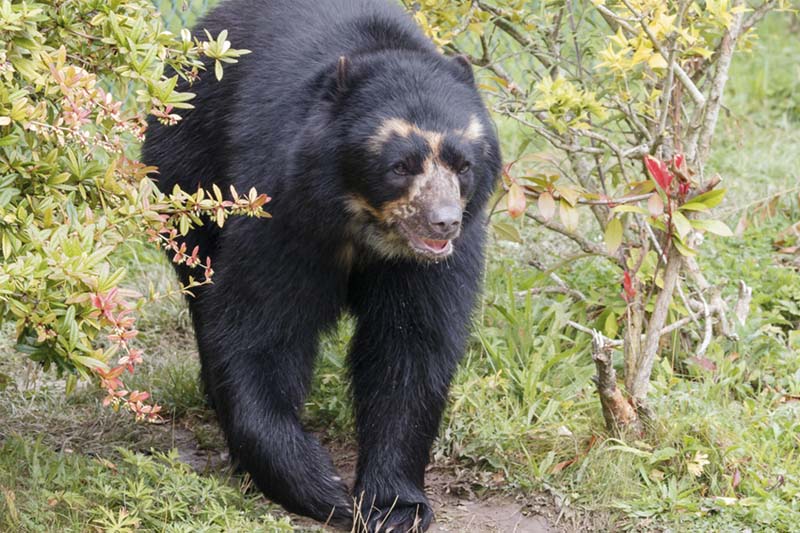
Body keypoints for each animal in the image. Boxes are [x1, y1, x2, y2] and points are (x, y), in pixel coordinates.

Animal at [141, 0, 496, 528]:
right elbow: (259, 328)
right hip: (188, 167)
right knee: (202, 284)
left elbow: (411, 346)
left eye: (462, 164)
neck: (364, 227)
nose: (443, 223)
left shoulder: (433, 265)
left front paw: (394, 507)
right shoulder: (284, 210)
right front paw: (321, 488)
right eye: (400, 165)